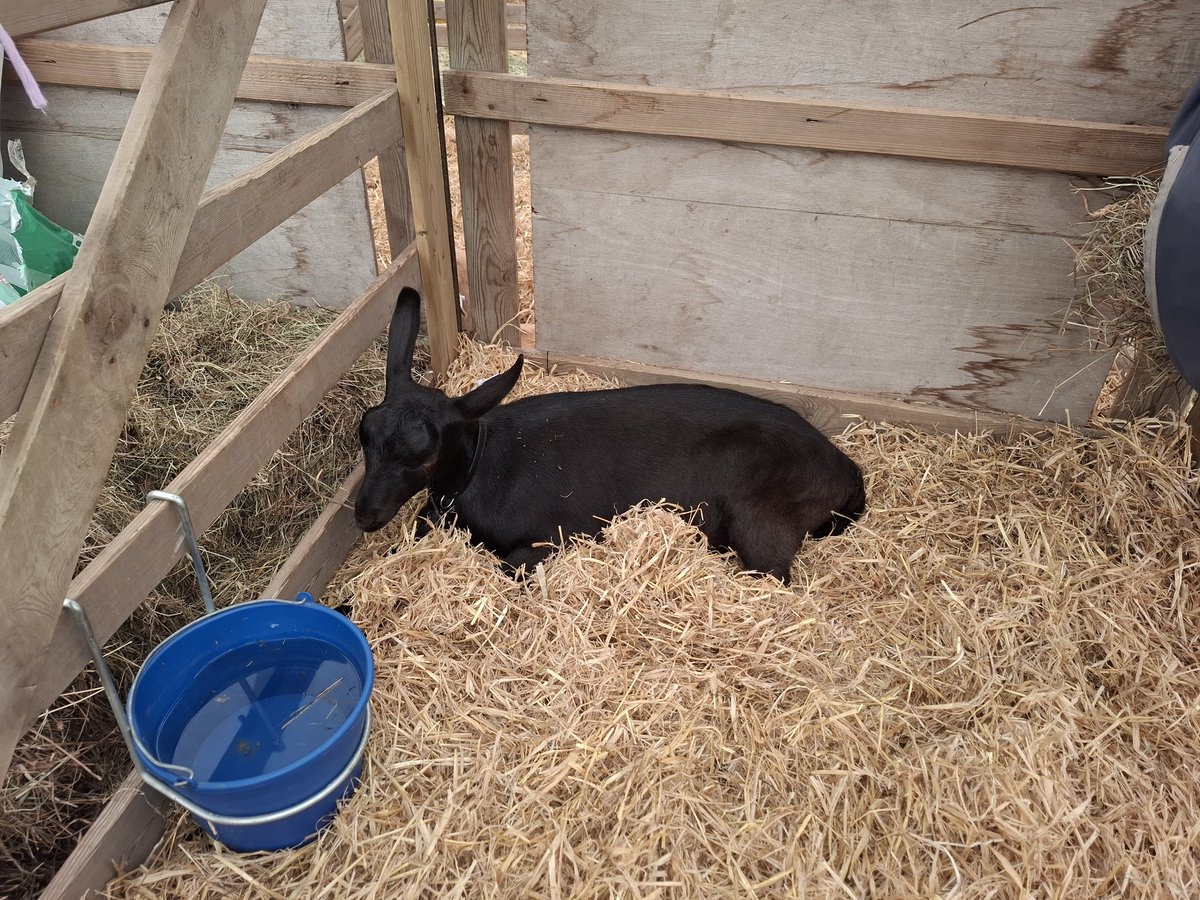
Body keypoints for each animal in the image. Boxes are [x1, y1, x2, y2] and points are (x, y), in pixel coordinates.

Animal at [355, 288, 865, 583]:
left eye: (424, 456)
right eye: (364, 436)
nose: (364, 515)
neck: (477, 469)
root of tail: (846, 470)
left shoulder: (557, 535)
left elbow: (510, 565)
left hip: (762, 522)